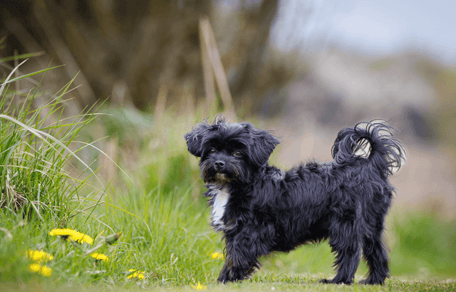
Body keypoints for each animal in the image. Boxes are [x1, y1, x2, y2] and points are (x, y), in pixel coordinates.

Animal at [183, 117, 404, 286]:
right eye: (211, 150)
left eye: (238, 153)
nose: (219, 163)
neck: (238, 185)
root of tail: (370, 165)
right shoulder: (235, 230)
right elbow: (233, 254)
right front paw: (227, 278)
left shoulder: (251, 230)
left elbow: (237, 255)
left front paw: (227, 279)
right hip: (372, 224)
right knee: (377, 251)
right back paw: (374, 281)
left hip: (345, 223)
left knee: (350, 252)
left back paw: (339, 281)